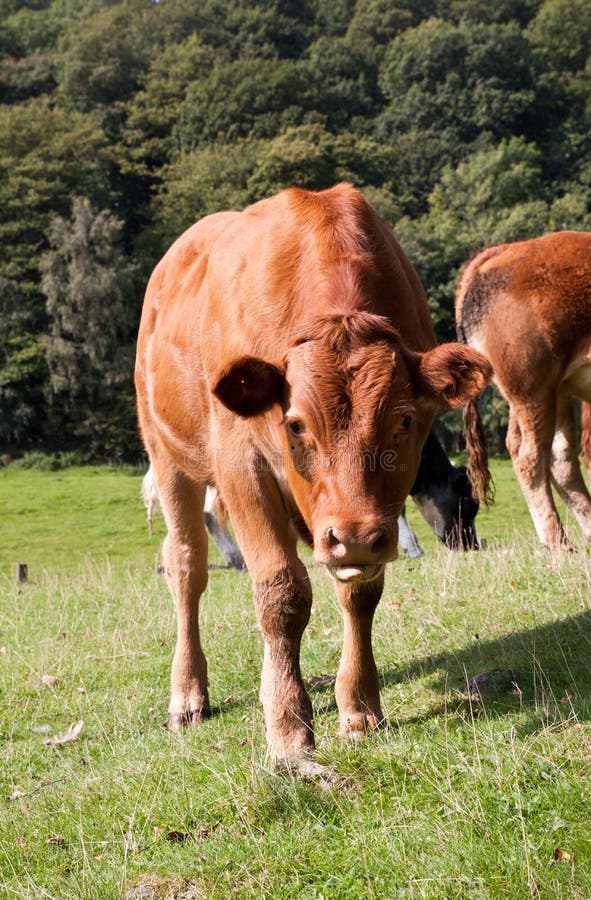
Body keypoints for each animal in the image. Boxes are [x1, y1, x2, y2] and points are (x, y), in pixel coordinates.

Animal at [135, 183, 490, 771]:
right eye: (296, 422)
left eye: (405, 420)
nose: (353, 536)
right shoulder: (241, 466)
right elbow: (281, 592)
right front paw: (287, 726)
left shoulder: (369, 518)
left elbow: (361, 594)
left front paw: (359, 707)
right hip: (169, 457)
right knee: (185, 565)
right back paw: (187, 694)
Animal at [456, 230, 591, 552]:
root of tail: (497, 253)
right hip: (533, 389)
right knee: (531, 457)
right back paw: (559, 544)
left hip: (552, 392)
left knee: (559, 458)